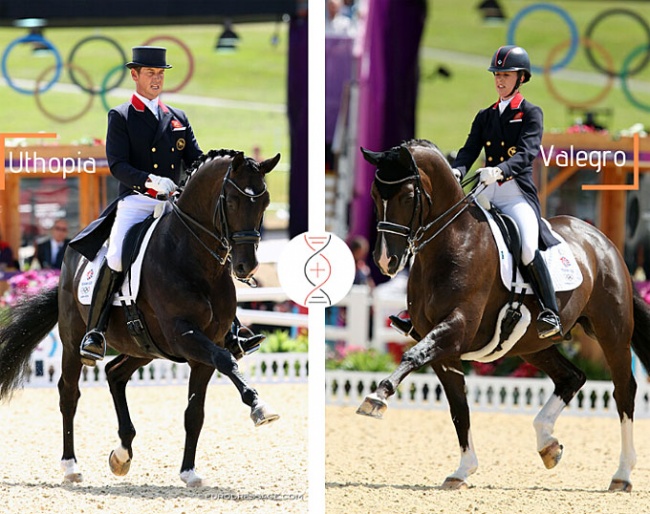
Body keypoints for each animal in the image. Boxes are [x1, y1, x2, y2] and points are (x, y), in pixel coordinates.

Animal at [0, 147, 280, 484]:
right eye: (233, 200)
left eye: (264, 202)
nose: (245, 267)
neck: (195, 258)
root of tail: (70, 257)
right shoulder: (185, 335)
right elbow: (226, 361)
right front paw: (260, 407)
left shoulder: (204, 348)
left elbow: (195, 413)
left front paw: (189, 471)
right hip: (72, 339)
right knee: (69, 393)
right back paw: (70, 466)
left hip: (143, 347)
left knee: (114, 374)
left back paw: (122, 453)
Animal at [354, 138, 648, 490]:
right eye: (374, 195)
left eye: (408, 196)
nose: (386, 261)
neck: (452, 242)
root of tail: (602, 241)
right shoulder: (445, 350)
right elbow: (458, 408)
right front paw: (463, 470)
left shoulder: (456, 329)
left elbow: (413, 355)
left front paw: (377, 396)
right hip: (531, 345)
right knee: (572, 377)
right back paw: (548, 444)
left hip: (611, 332)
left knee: (624, 391)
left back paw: (622, 474)